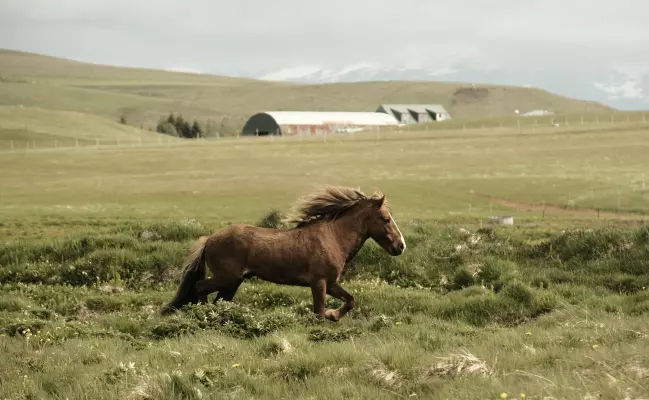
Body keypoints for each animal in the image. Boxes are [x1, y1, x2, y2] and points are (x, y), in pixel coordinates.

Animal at [160, 185, 407, 322]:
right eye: (386, 219)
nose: (400, 246)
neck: (333, 237)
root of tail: (209, 239)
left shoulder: (330, 283)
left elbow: (350, 300)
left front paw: (334, 315)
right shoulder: (319, 283)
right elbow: (319, 311)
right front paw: (330, 315)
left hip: (233, 282)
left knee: (218, 300)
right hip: (227, 278)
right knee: (200, 287)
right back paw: (203, 314)